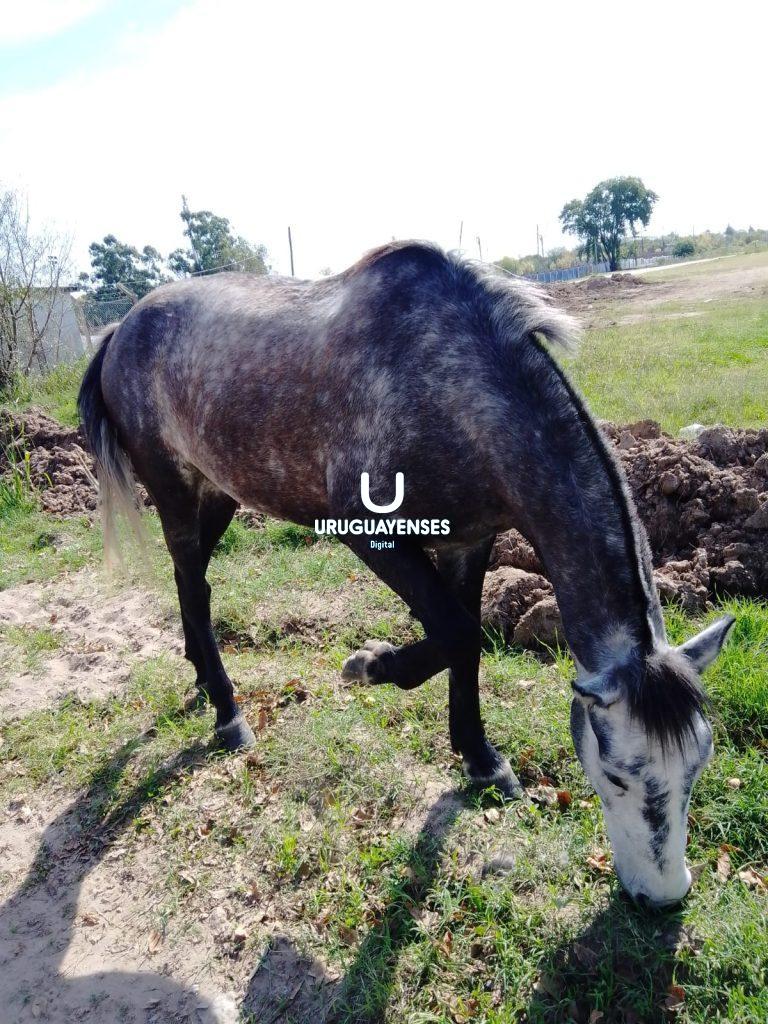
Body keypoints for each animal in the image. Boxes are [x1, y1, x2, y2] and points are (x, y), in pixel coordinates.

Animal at [77, 240, 734, 908]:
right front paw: (371, 665)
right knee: (193, 581)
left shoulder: (468, 540)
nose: (663, 897)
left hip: (217, 492)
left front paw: (482, 760)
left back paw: (202, 680)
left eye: (698, 765)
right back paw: (227, 712)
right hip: (174, 490)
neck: (452, 388)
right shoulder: (369, 531)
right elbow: (456, 634)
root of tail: (118, 329)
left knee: (193, 584)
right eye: (617, 776)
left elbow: (465, 641)